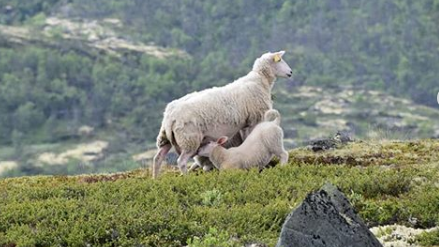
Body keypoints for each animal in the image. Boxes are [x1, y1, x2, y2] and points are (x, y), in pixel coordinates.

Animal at [153, 50, 294, 178]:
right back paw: (187, 179)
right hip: (189, 139)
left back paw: (155, 180)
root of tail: (170, 117)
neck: (260, 80)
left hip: (166, 138)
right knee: (181, 161)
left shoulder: (244, 124)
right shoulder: (254, 119)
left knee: (157, 158)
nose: (291, 72)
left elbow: (245, 140)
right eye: (280, 60)